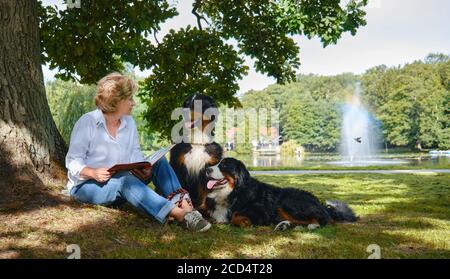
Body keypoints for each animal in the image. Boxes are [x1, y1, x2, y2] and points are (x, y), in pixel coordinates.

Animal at [206, 159, 356, 231]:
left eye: (224, 165)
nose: (207, 169)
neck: (235, 191)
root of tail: (320, 203)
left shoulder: (261, 212)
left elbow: (235, 216)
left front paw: (243, 221)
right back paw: (284, 225)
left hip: (288, 202)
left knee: (325, 220)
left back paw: (312, 226)